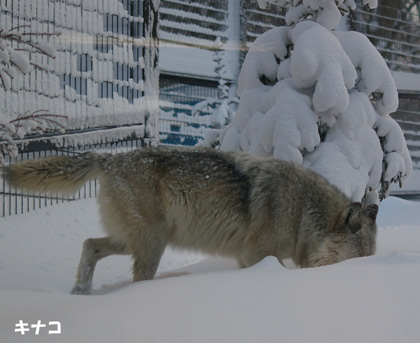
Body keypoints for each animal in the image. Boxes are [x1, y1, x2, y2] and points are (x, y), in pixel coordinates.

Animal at [2, 146, 378, 294]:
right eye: (354, 261)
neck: (303, 211)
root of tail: (109, 158)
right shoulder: (255, 256)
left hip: (130, 241)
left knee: (88, 245)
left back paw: (80, 292)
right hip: (151, 245)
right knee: (134, 276)